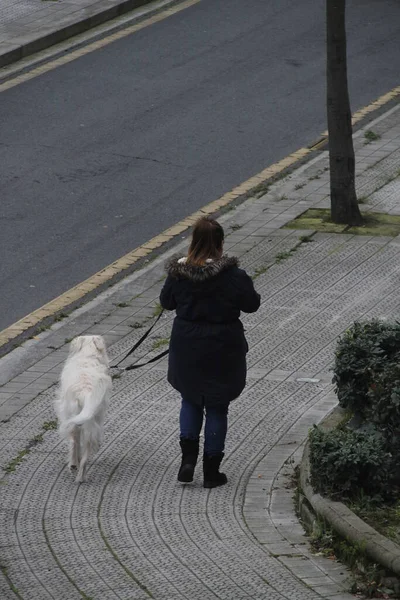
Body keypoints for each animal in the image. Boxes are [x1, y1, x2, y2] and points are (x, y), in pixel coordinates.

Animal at [55, 338, 111, 482]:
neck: (87, 355)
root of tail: (84, 392)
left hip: (76, 420)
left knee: (74, 443)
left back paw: (75, 466)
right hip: (88, 422)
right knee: (83, 451)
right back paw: (80, 475)